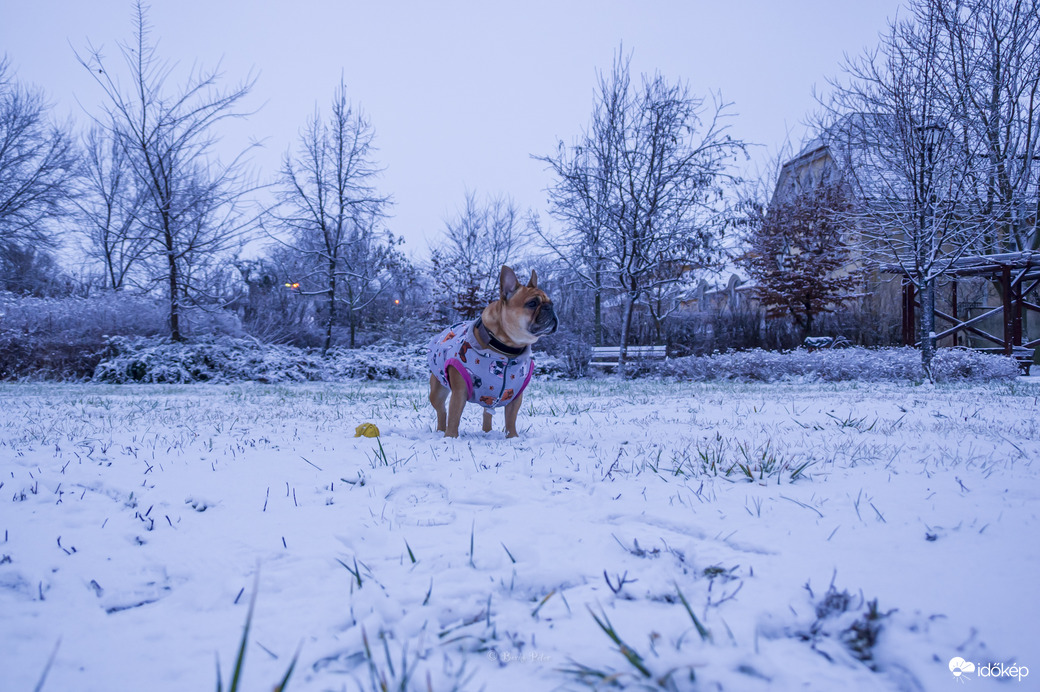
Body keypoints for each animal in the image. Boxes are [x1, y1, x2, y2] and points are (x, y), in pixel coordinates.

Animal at [426, 264, 557, 437]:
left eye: (552, 303)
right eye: (532, 303)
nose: (550, 308)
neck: (506, 350)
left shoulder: (515, 394)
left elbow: (511, 419)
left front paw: (513, 437)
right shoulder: (459, 392)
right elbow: (454, 417)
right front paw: (451, 437)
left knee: (486, 412)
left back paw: (487, 432)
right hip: (437, 391)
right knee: (442, 411)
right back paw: (442, 431)